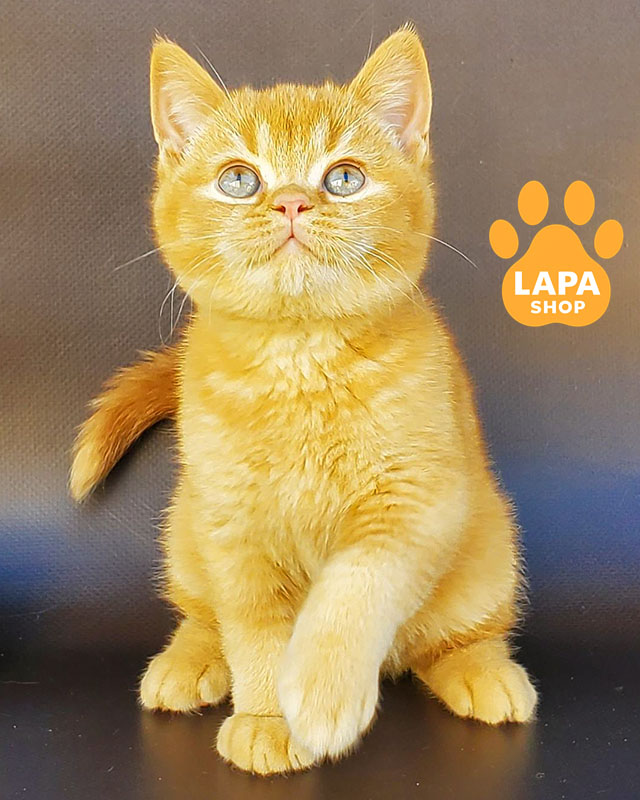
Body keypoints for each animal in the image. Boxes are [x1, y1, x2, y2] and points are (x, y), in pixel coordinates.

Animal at [70, 26, 537, 775]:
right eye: (239, 180)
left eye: (344, 177)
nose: (291, 201)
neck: (299, 362)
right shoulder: (234, 527)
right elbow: (255, 627)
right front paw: (268, 715)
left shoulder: (417, 503)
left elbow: (355, 585)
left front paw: (318, 693)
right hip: (186, 531)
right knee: (204, 614)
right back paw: (188, 661)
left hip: (488, 550)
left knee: (455, 636)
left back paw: (483, 672)